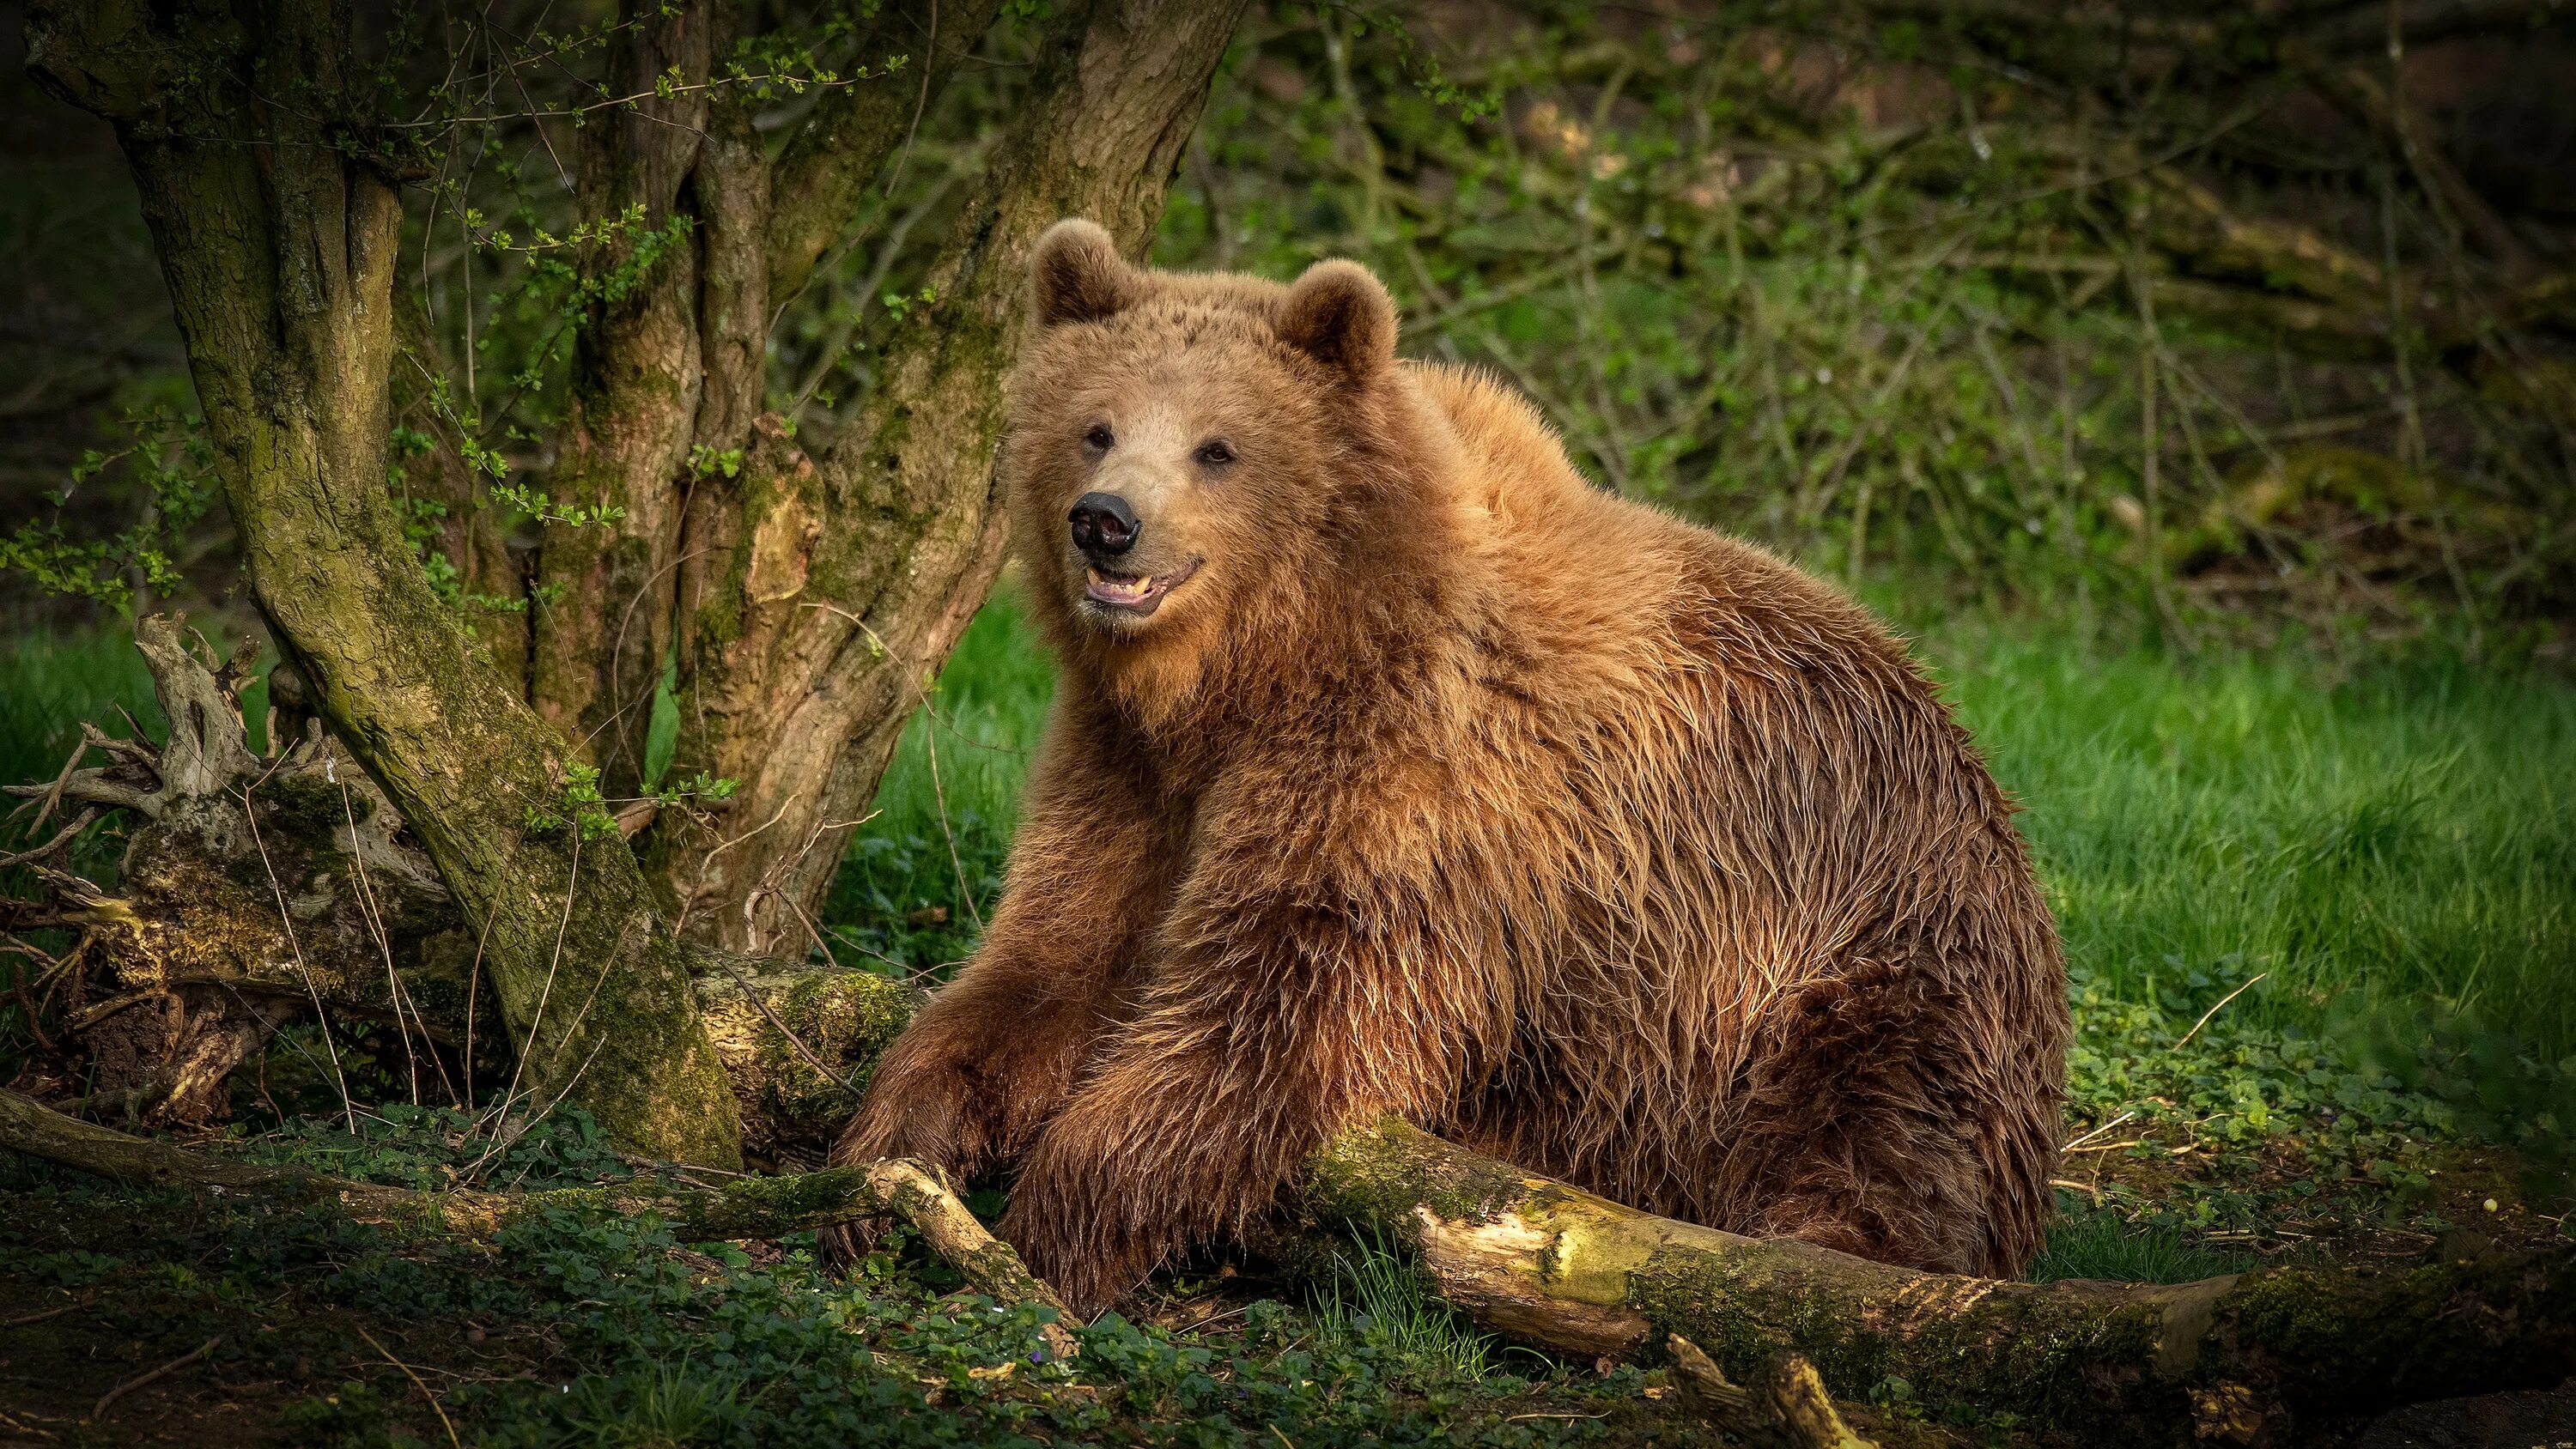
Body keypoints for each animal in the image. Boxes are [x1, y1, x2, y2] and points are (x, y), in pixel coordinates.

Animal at [824, 221, 2071, 1318]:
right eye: (1094, 425)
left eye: (1218, 446)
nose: (1107, 522)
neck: (1261, 669)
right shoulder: (1129, 769)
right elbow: (1055, 952)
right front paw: (893, 1154)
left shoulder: (1412, 785)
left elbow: (1274, 1015)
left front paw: (1046, 1234)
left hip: (1860, 947)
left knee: (1883, 1119)